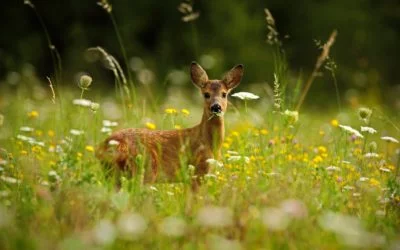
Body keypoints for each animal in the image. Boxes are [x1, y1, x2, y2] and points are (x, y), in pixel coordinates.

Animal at [96, 62, 244, 189]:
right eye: (206, 94)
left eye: (224, 94)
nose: (216, 107)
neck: (209, 143)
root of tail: (108, 145)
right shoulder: (198, 170)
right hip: (144, 169)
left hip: (113, 174)